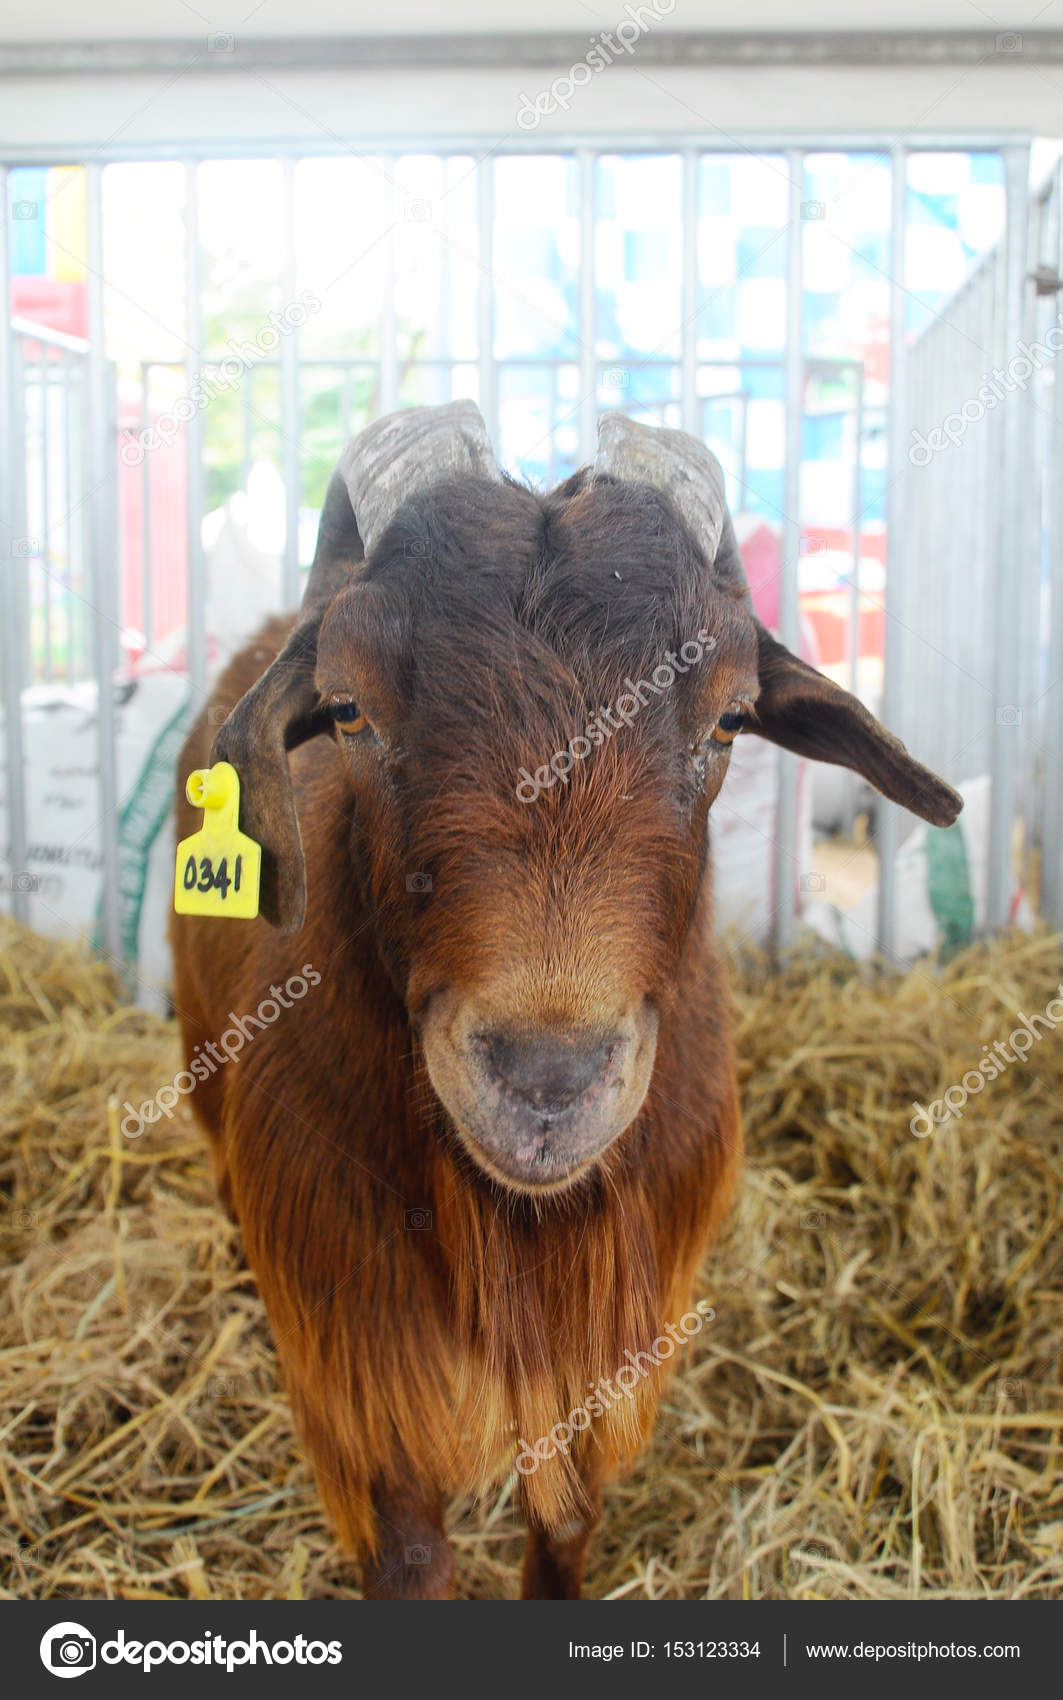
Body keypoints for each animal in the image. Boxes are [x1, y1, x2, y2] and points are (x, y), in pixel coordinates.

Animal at [171, 403, 960, 1599]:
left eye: (731, 717)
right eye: (348, 709)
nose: (548, 1077)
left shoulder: (614, 1330)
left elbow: (571, 1516)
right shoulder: (362, 1349)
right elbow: (410, 1551)